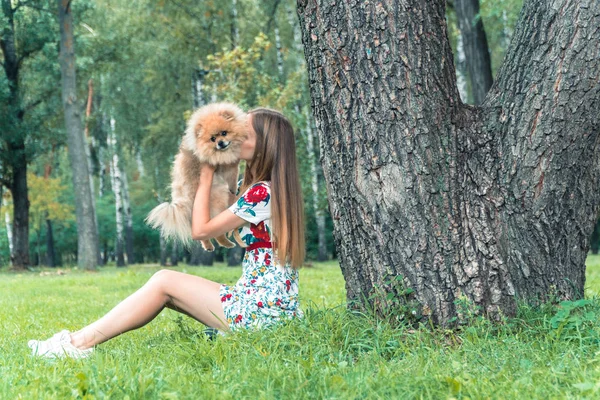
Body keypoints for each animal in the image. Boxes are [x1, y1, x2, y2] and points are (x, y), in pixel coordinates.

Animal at [146, 102, 247, 250]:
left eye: (224, 132)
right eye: (212, 139)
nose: (220, 143)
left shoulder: (232, 166)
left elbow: (233, 177)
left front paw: (234, 189)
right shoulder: (223, 167)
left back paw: (211, 245)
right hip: (217, 198)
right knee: (214, 231)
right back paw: (226, 243)